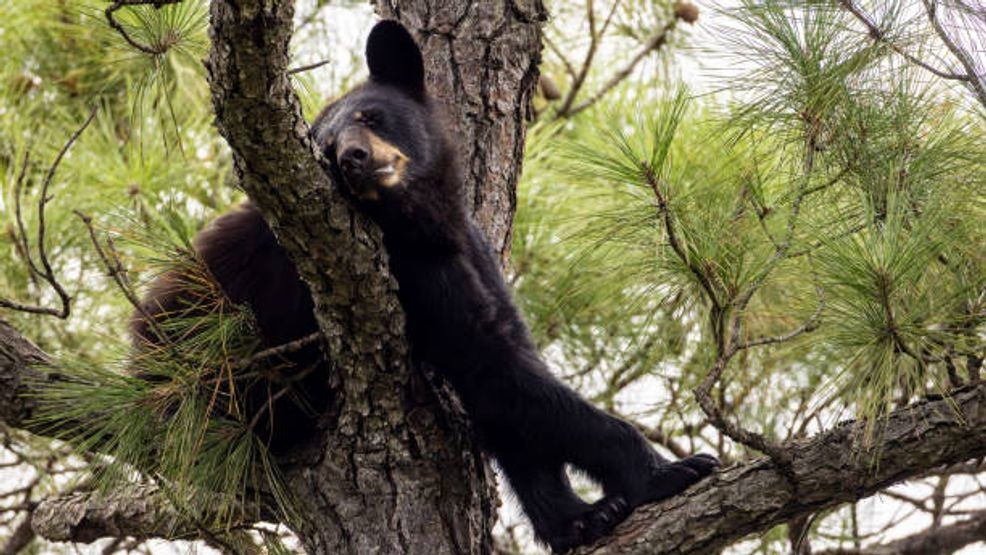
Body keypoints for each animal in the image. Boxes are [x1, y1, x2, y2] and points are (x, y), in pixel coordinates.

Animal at [132, 19, 718, 553]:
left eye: (371, 116)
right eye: (325, 148)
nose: (353, 158)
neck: (425, 224)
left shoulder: (472, 254)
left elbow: (506, 386)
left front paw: (580, 519)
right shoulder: (409, 273)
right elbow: (493, 369)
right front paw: (670, 471)